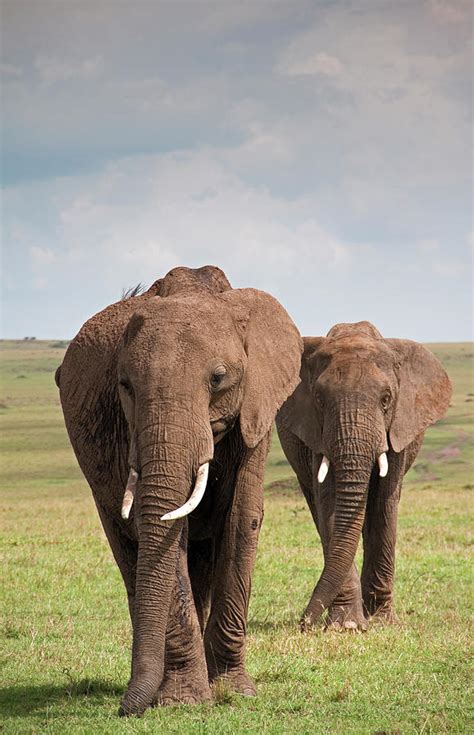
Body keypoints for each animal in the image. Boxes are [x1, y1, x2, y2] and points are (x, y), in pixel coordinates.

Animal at [54, 266, 300, 720]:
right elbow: (164, 535)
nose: (124, 709)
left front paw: (236, 691)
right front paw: (184, 700)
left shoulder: (257, 410)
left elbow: (242, 519)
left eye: (218, 379)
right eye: (125, 385)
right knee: (128, 550)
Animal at [274, 322, 452, 632]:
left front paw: (380, 621)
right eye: (319, 400)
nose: (303, 623)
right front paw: (347, 626)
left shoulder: (397, 430)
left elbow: (383, 504)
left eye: (386, 399)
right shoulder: (316, 434)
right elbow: (330, 504)